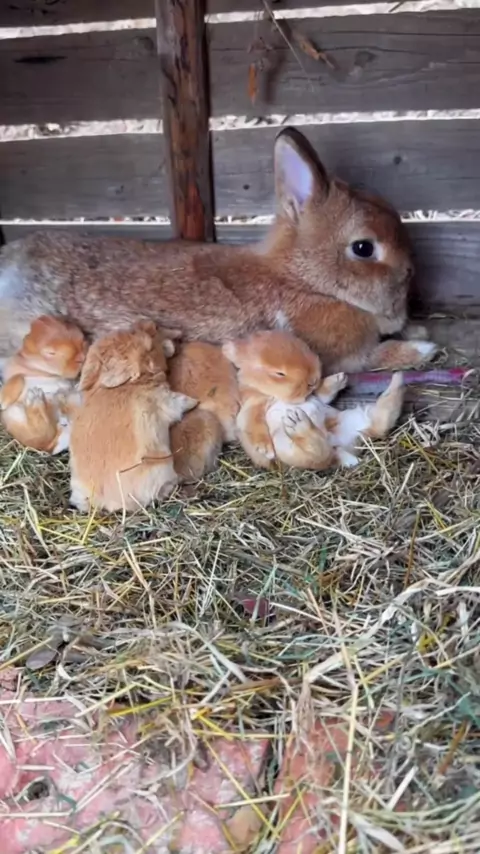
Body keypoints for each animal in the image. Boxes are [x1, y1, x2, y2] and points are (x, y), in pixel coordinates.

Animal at [0, 127, 436, 376]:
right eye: (364, 248)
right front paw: (422, 346)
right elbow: (377, 358)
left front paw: (418, 330)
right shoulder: (341, 357)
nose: (412, 272)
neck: (302, 280)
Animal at [0, 314, 87, 454]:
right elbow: (18, 377)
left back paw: (37, 400)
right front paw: (3, 400)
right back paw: (36, 398)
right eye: (50, 353)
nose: (82, 358)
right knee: (44, 435)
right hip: (17, 419)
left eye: (82, 338)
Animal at [69, 321, 197, 513]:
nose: (150, 323)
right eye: (149, 347)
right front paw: (195, 402)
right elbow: (180, 402)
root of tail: (105, 499)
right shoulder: (166, 401)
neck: (127, 384)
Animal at [224, 330, 405, 471]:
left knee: (382, 420)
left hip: (357, 418)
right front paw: (265, 450)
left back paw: (397, 381)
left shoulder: (315, 396)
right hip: (289, 448)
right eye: (279, 373)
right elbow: (253, 425)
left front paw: (339, 379)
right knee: (319, 455)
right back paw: (298, 423)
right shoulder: (253, 406)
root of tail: (338, 447)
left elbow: (322, 394)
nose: (313, 379)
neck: (273, 394)